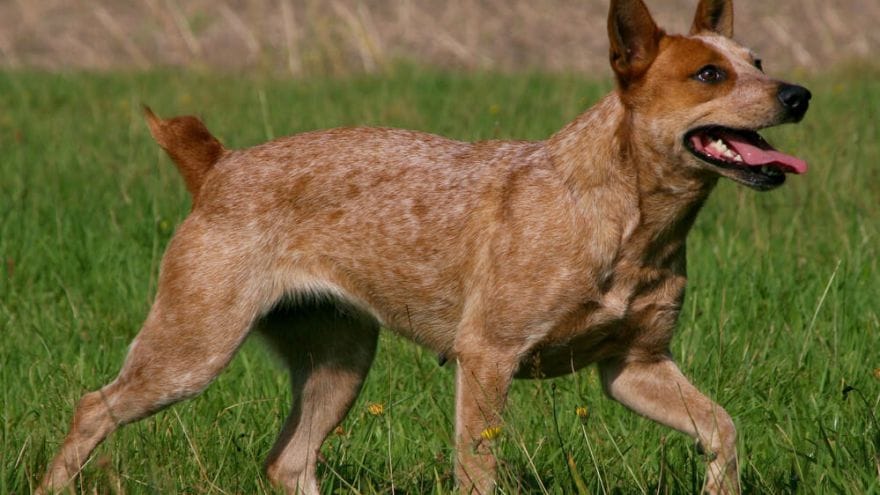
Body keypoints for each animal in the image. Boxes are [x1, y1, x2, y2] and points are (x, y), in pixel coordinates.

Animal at [41, 0, 812, 494]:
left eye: (757, 60)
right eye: (709, 75)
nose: (799, 93)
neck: (632, 220)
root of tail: (218, 166)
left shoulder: (635, 366)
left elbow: (722, 430)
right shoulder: (488, 359)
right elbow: (477, 472)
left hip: (342, 361)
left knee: (289, 462)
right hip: (192, 350)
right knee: (92, 407)